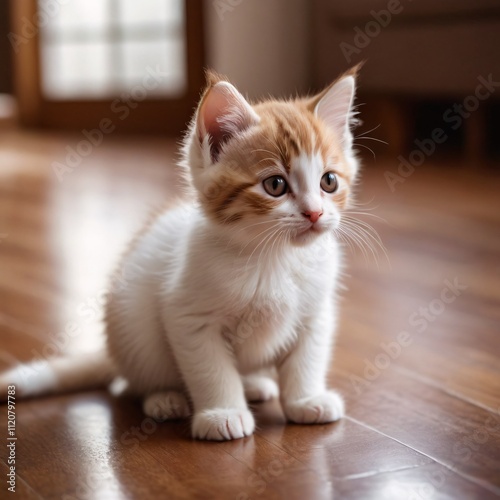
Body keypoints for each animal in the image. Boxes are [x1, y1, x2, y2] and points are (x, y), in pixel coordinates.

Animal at [0, 66, 360, 442]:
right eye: (275, 185)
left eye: (329, 182)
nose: (315, 213)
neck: (274, 256)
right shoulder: (189, 316)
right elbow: (211, 369)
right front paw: (222, 414)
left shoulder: (316, 312)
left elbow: (307, 359)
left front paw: (307, 399)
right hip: (131, 327)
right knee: (129, 382)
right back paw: (164, 398)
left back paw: (254, 383)